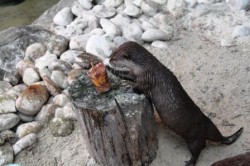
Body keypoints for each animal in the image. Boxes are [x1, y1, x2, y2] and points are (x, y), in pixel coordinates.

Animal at [104, 41, 244, 166]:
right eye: (112, 52)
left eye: (115, 58)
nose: (109, 59)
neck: (145, 67)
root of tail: (207, 128)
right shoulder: (135, 74)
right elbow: (125, 75)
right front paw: (107, 68)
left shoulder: (145, 79)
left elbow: (137, 88)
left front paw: (127, 88)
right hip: (205, 129)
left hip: (194, 138)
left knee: (197, 151)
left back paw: (190, 162)